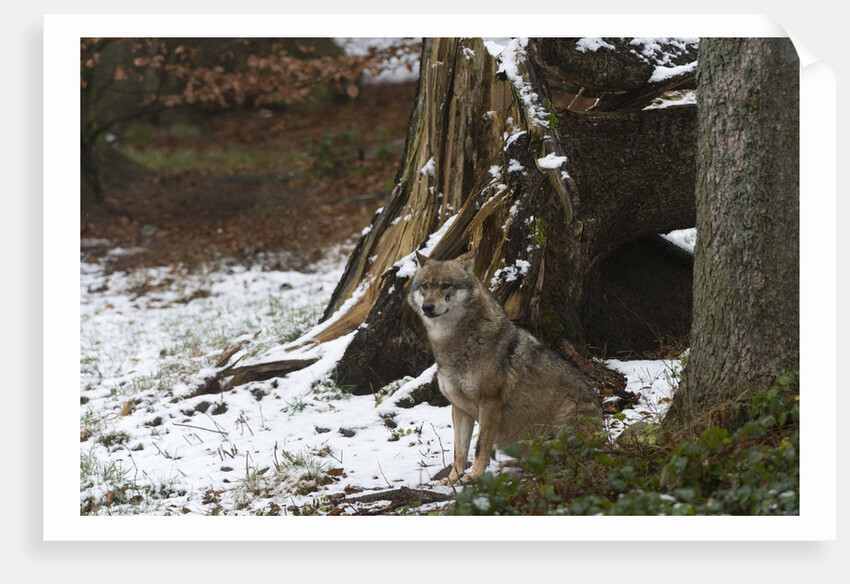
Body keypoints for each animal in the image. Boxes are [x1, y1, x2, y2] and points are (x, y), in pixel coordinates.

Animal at [408, 250, 603, 484]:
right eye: (425, 286)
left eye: (446, 285)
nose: (427, 307)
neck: (455, 344)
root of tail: (604, 428)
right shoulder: (459, 408)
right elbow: (459, 451)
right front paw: (453, 479)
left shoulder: (490, 402)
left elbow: (480, 446)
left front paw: (474, 476)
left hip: (561, 426)